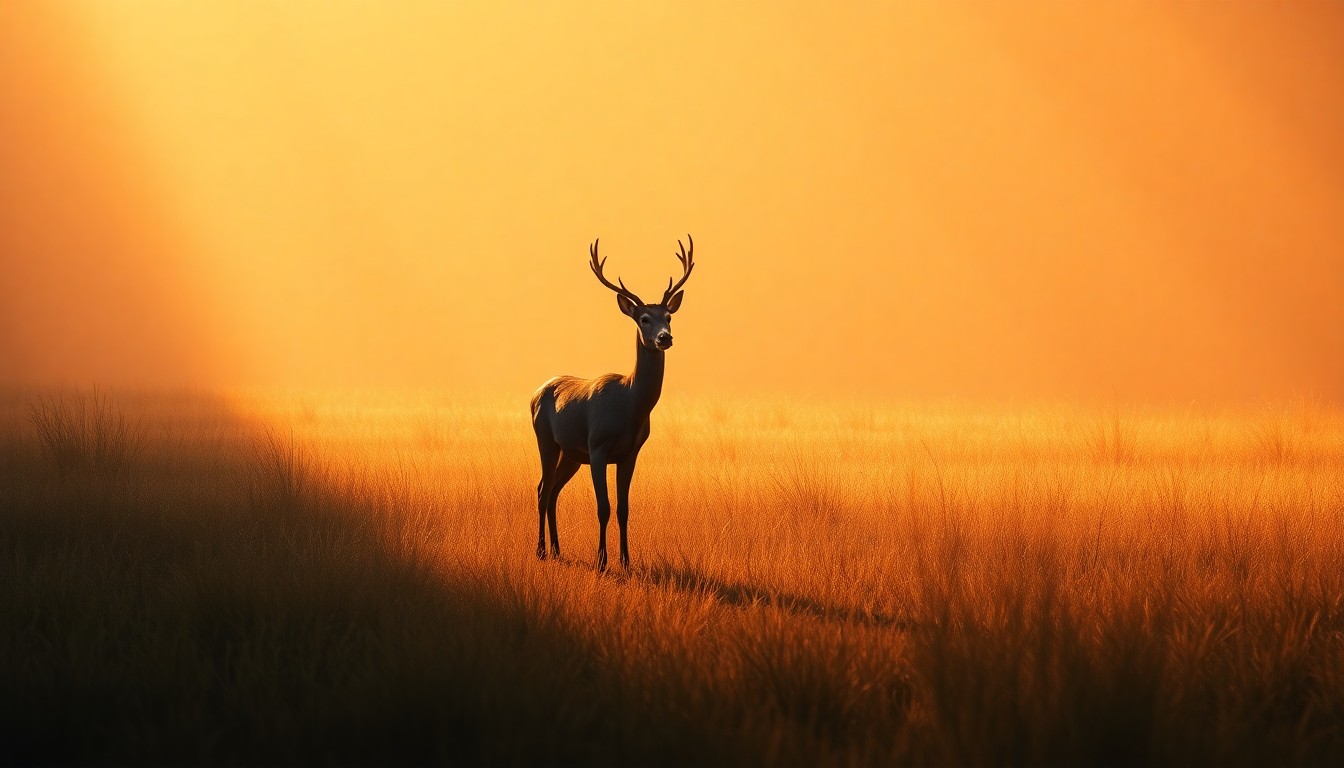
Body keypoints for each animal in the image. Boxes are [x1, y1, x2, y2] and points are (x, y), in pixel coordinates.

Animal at [529, 235, 695, 571]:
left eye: (668, 317)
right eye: (643, 318)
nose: (665, 337)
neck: (629, 406)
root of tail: (534, 395)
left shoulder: (630, 453)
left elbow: (623, 508)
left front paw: (627, 561)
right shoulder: (597, 447)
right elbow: (603, 507)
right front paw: (602, 561)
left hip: (570, 453)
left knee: (553, 492)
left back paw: (557, 549)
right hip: (546, 439)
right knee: (541, 489)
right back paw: (540, 550)